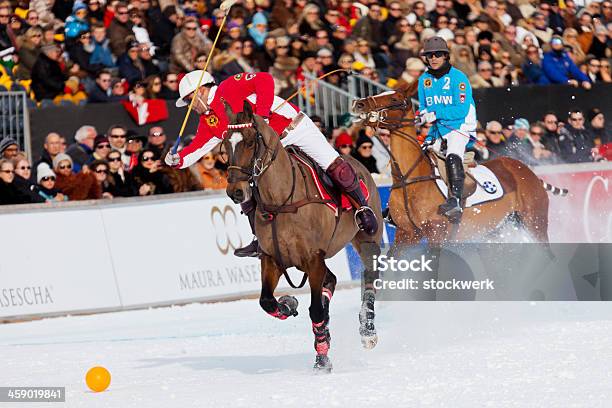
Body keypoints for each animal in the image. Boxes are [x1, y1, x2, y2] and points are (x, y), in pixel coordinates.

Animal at [220, 99, 382, 372]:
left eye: (251, 141)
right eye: (224, 145)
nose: (236, 192)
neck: (281, 201)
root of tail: (357, 161)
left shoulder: (314, 259)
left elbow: (315, 310)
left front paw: (322, 361)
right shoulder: (272, 259)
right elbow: (267, 301)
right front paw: (289, 304)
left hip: (367, 238)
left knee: (370, 277)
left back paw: (367, 330)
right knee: (332, 280)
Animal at [352, 81, 568, 244]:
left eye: (395, 99)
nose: (359, 104)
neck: (409, 178)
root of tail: (528, 171)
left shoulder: (436, 234)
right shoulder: (406, 234)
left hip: (535, 222)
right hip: (499, 227)